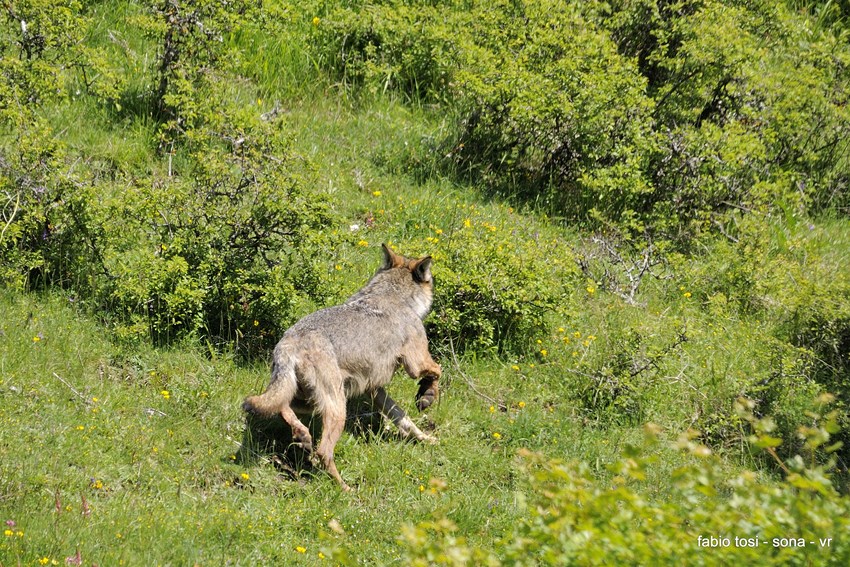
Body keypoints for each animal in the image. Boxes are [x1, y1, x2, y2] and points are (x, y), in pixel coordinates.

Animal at [238, 243, 438, 488]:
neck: (393, 294)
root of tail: (288, 344)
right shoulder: (415, 364)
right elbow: (437, 371)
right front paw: (427, 395)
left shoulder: (375, 390)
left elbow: (403, 418)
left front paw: (426, 438)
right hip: (337, 408)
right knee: (323, 451)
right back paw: (344, 488)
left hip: (310, 401)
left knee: (281, 408)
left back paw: (301, 435)